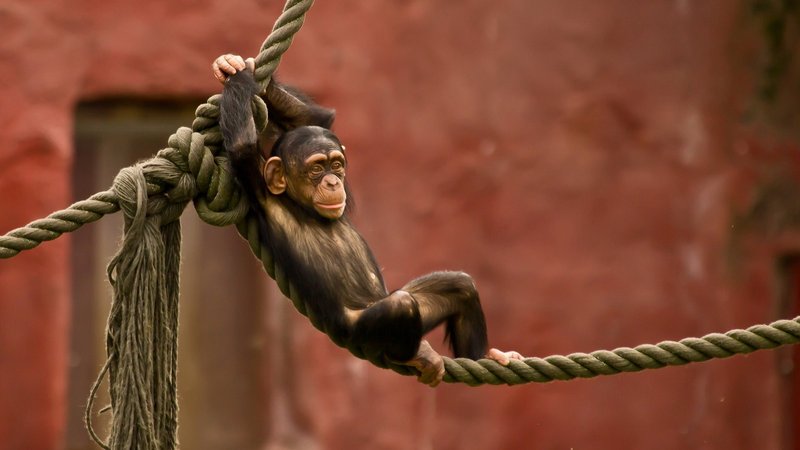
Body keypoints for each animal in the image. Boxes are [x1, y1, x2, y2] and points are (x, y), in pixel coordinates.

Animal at [214, 54, 522, 386]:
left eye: (336, 164)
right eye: (316, 168)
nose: (332, 182)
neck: (304, 208)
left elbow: (317, 120)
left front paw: (242, 70)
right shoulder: (259, 188)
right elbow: (242, 147)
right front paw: (235, 75)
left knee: (459, 286)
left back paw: (487, 356)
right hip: (362, 333)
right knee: (400, 306)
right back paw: (417, 354)